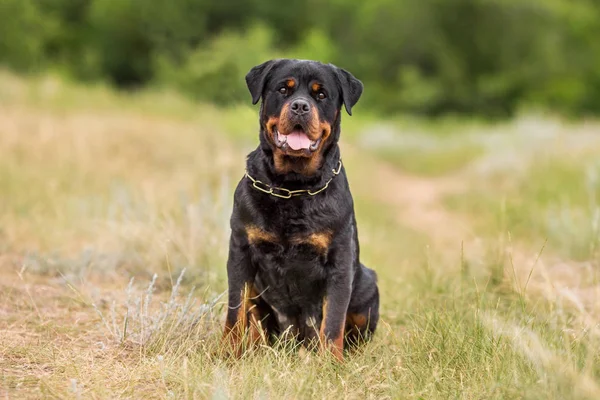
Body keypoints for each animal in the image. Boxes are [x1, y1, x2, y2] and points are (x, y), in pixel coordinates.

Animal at [223, 59, 382, 362]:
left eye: (321, 95)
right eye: (283, 89)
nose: (299, 106)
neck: (292, 186)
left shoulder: (340, 261)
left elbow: (333, 320)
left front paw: (331, 364)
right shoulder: (241, 251)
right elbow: (235, 311)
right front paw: (227, 355)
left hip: (367, 283)